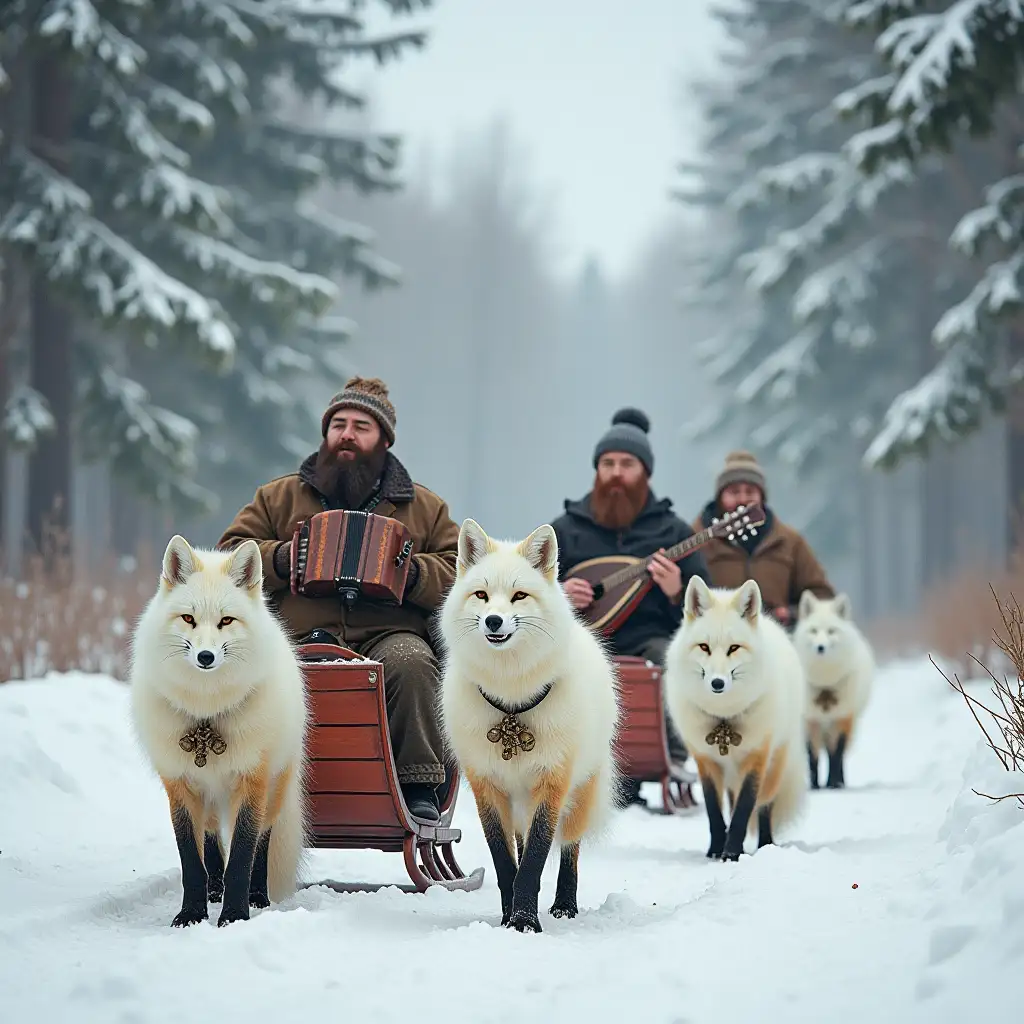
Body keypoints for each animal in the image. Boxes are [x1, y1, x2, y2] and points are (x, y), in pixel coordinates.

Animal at [126, 536, 307, 929]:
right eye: (188, 618)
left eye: (226, 620)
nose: (206, 657)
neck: (206, 714)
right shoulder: (178, 783)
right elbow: (192, 862)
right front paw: (192, 913)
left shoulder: (251, 780)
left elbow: (241, 856)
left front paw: (235, 915)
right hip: (208, 794)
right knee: (210, 840)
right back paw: (213, 892)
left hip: (275, 788)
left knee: (263, 844)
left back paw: (257, 896)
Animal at [436, 524, 618, 933]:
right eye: (482, 595)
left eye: (519, 596)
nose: (493, 621)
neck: (511, 704)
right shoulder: (486, 785)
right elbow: (507, 864)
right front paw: (508, 918)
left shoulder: (553, 781)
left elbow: (533, 862)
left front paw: (525, 922)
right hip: (519, 799)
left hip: (578, 795)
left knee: (569, 851)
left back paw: (565, 904)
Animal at [663, 581, 806, 860]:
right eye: (704, 647)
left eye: (734, 648)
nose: (717, 683)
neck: (724, 718)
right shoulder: (705, 761)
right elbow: (714, 813)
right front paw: (716, 850)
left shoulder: (757, 758)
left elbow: (744, 810)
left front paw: (731, 853)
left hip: (775, 765)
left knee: (764, 806)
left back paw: (765, 845)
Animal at [790, 589, 872, 786]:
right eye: (813, 631)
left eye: (831, 631)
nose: (820, 647)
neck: (825, 682)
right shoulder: (809, 720)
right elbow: (813, 757)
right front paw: (815, 786)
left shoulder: (842, 718)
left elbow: (836, 755)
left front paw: (833, 783)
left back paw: (839, 782)